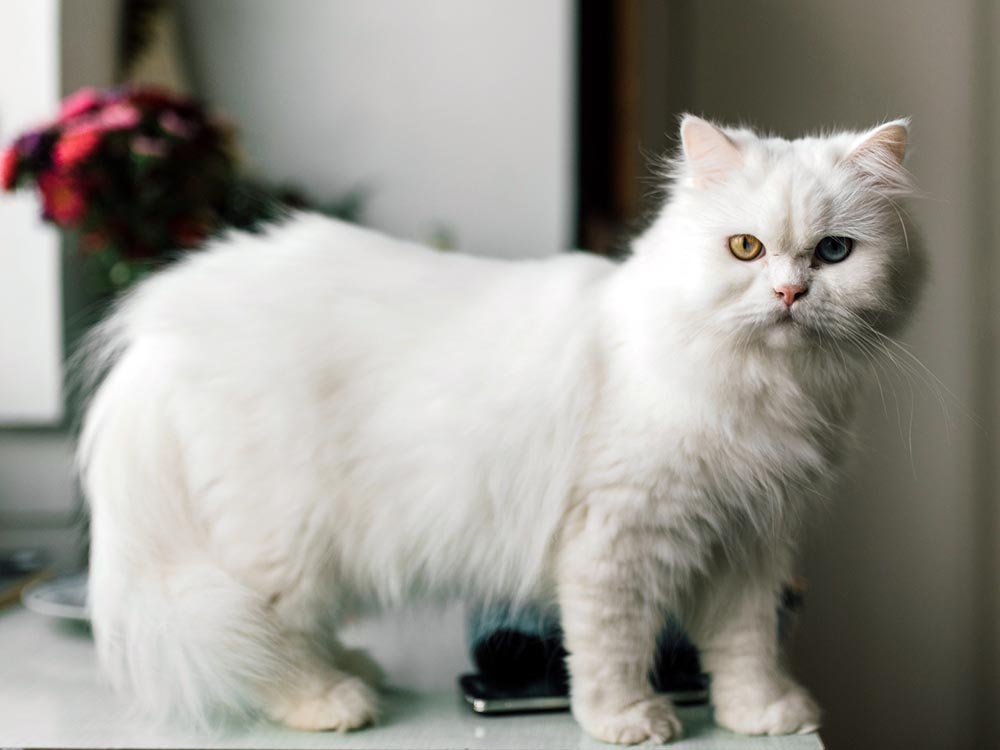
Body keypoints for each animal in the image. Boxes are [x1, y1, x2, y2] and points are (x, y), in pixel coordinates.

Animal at [80, 114, 920, 744]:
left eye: (833, 253)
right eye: (746, 248)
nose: (789, 294)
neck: (765, 390)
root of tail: (162, 319)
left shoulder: (751, 541)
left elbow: (744, 647)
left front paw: (762, 713)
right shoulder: (619, 536)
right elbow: (612, 645)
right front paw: (628, 721)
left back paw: (357, 668)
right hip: (285, 539)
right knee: (271, 637)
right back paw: (333, 701)